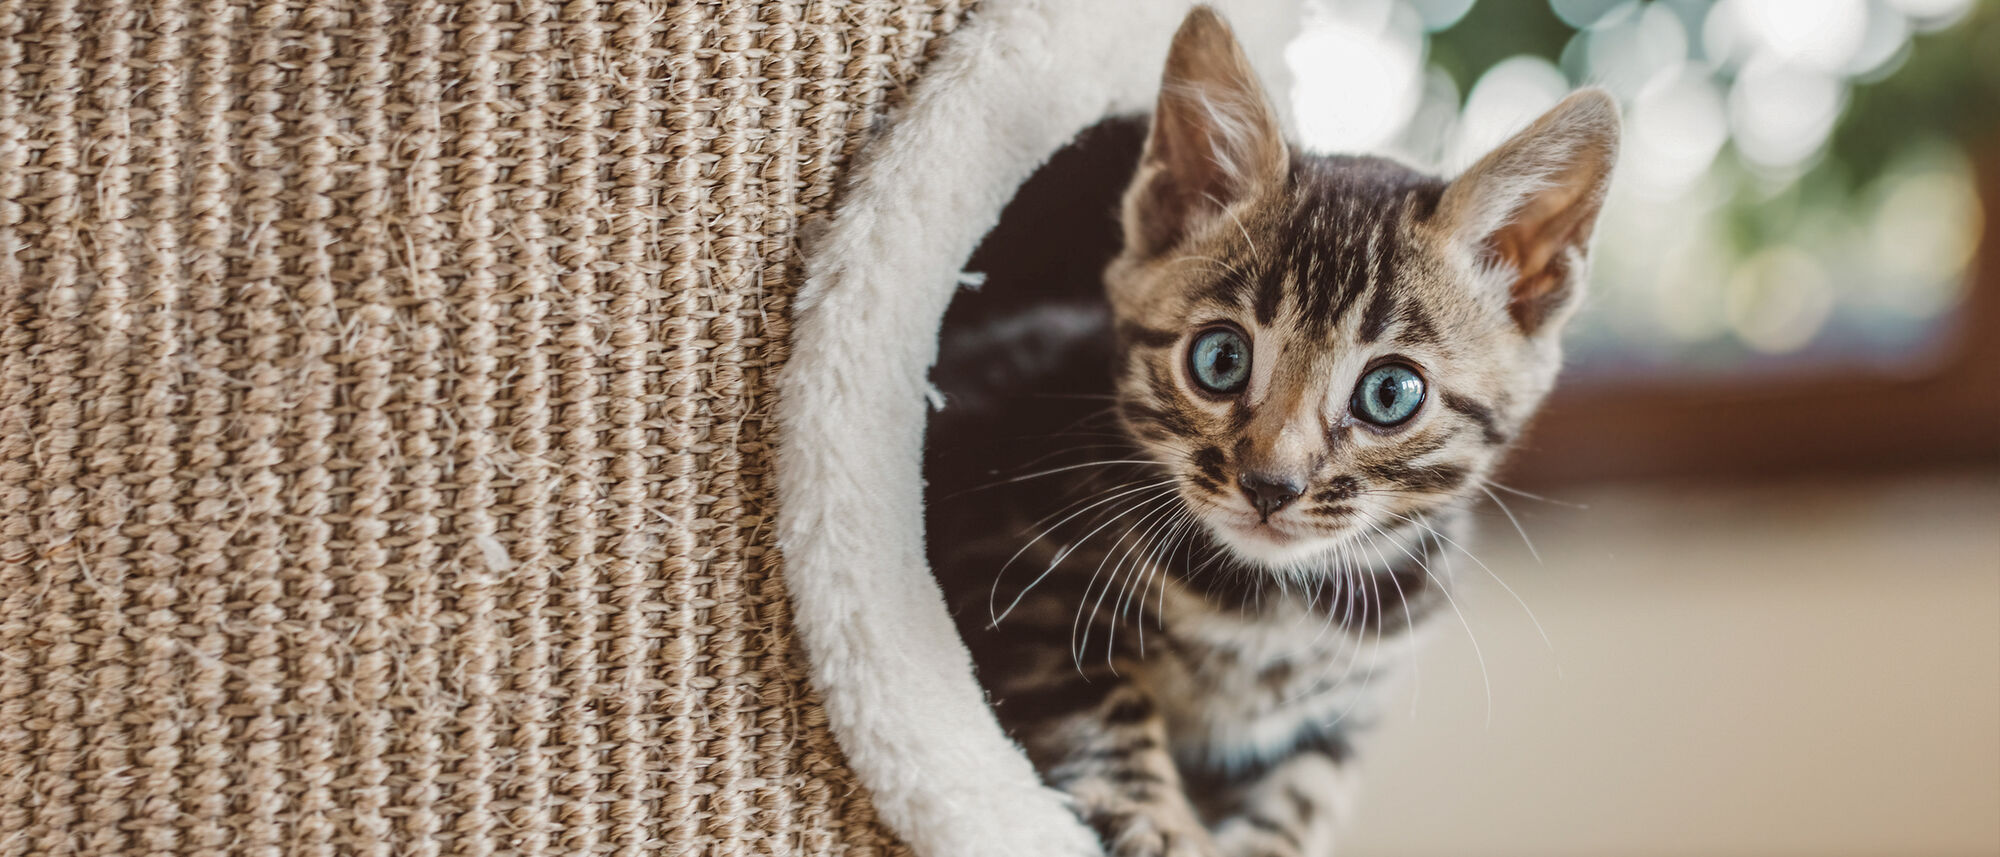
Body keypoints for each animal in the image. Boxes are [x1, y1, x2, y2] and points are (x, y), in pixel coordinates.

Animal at [928, 8, 1616, 857]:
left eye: (1390, 393)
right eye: (1221, 359)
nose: (1270, 484)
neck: (1275, 608)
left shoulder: (1345, 707)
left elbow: (1306, 791)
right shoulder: (1014, 573)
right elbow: (1098, 698)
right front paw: (1161, 822)